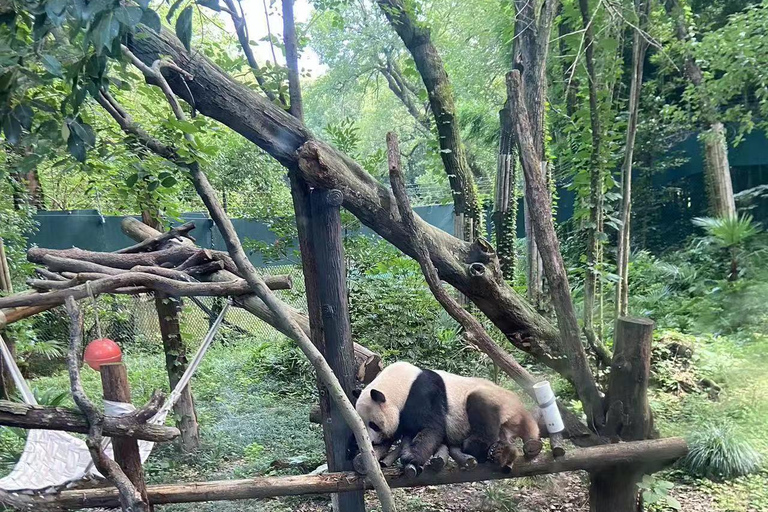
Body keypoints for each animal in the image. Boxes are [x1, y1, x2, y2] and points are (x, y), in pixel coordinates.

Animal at [352, 360, 540, 472]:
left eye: (374, 424)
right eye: (361, 423)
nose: (372, 442)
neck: (402, 383)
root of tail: (521, 409)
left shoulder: (424, 393)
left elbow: (432, 427)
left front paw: (411, 456)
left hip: (496, 401)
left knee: (481, 408)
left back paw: (474, 446)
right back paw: (502, 453)